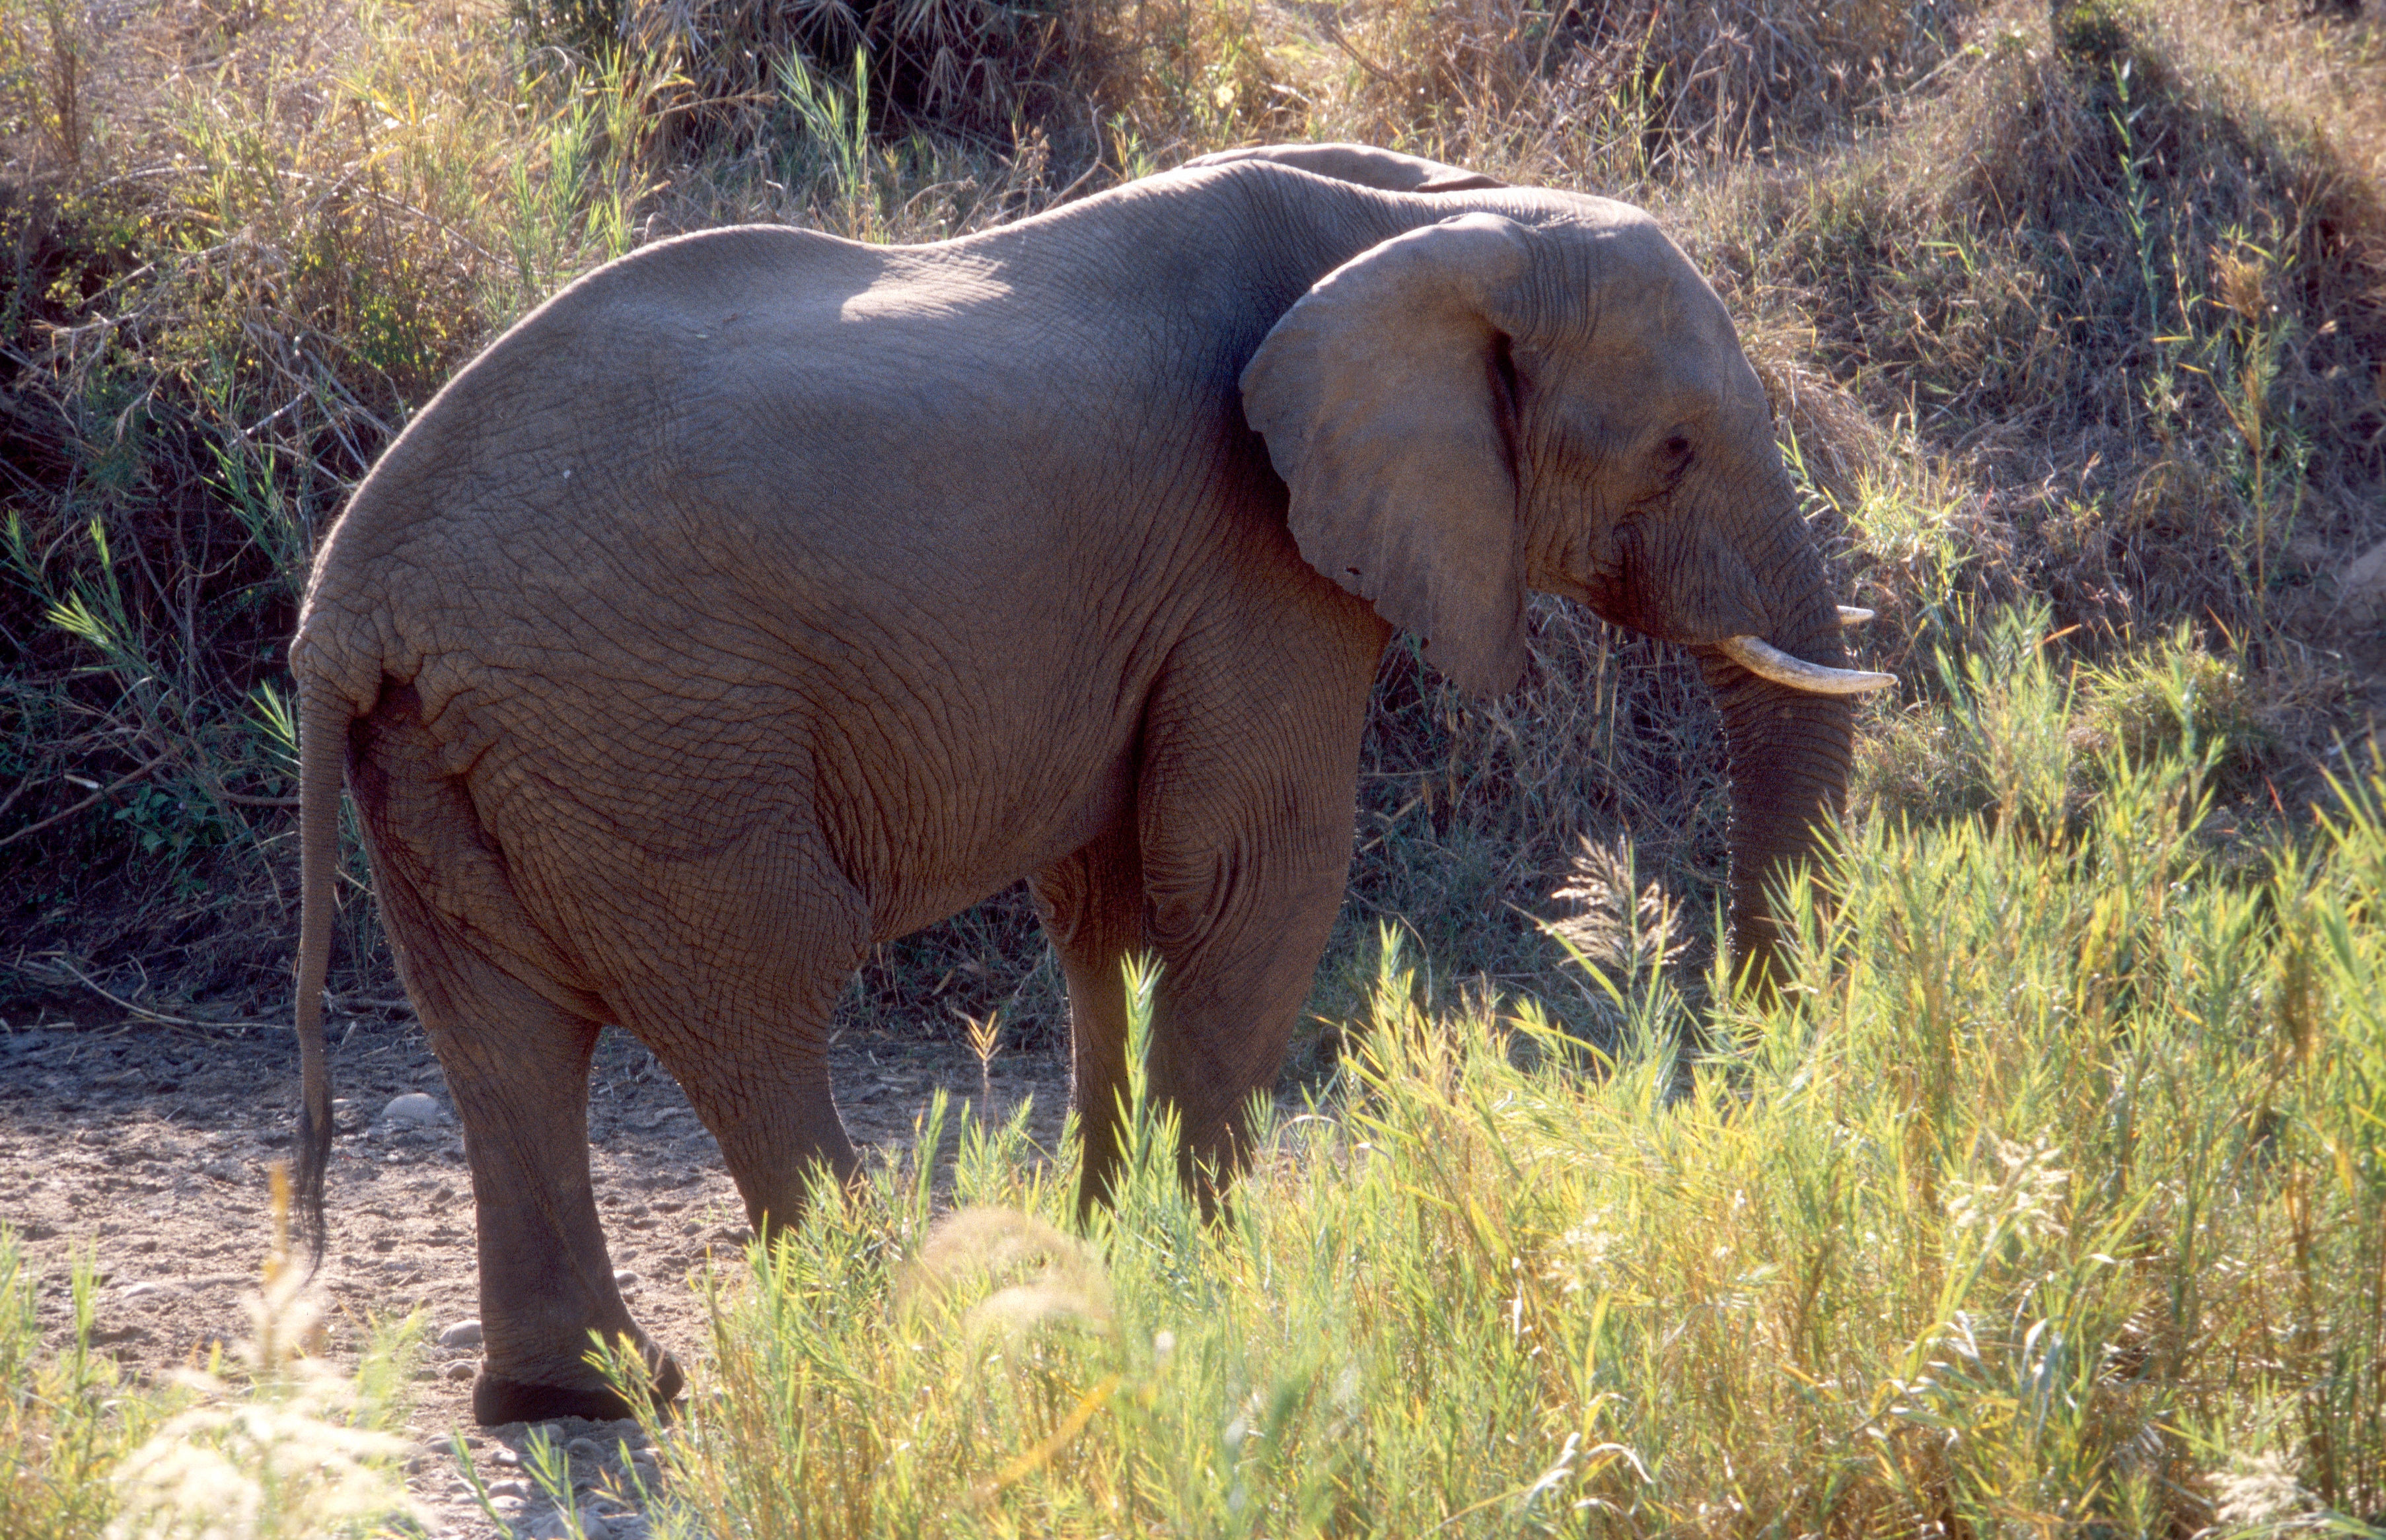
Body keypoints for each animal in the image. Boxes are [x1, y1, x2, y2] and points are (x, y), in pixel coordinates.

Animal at [283, 141, 1880, 1420]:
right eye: (1672, 450)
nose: (1755, 1086)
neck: (1432, 215)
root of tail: (348, 603)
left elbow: (1112, 900)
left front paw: (1116, 1253)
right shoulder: (1257, 551)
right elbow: (1250, 873)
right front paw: (1218, 1282)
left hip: (455, 747)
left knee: (502, 1036)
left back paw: (591, 1396)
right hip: (650, 728)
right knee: (755, 999)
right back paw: (890, 1336)